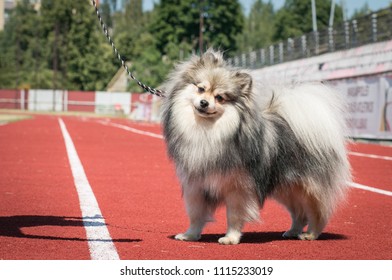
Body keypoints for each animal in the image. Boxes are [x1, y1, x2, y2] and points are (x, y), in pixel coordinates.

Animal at [161, 49, 350, 245]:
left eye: (220, 98)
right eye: (200, 89)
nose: (204, 103)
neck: (206, 131)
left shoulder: (237, 188)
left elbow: (234, 216)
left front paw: (230, 238)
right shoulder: (196, 187)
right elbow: (195, 215)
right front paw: (189, 235)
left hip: (308, 189)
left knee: (317, 213)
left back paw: (310, 234)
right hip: (287, 189)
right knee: (299, 213)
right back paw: (292, 231)